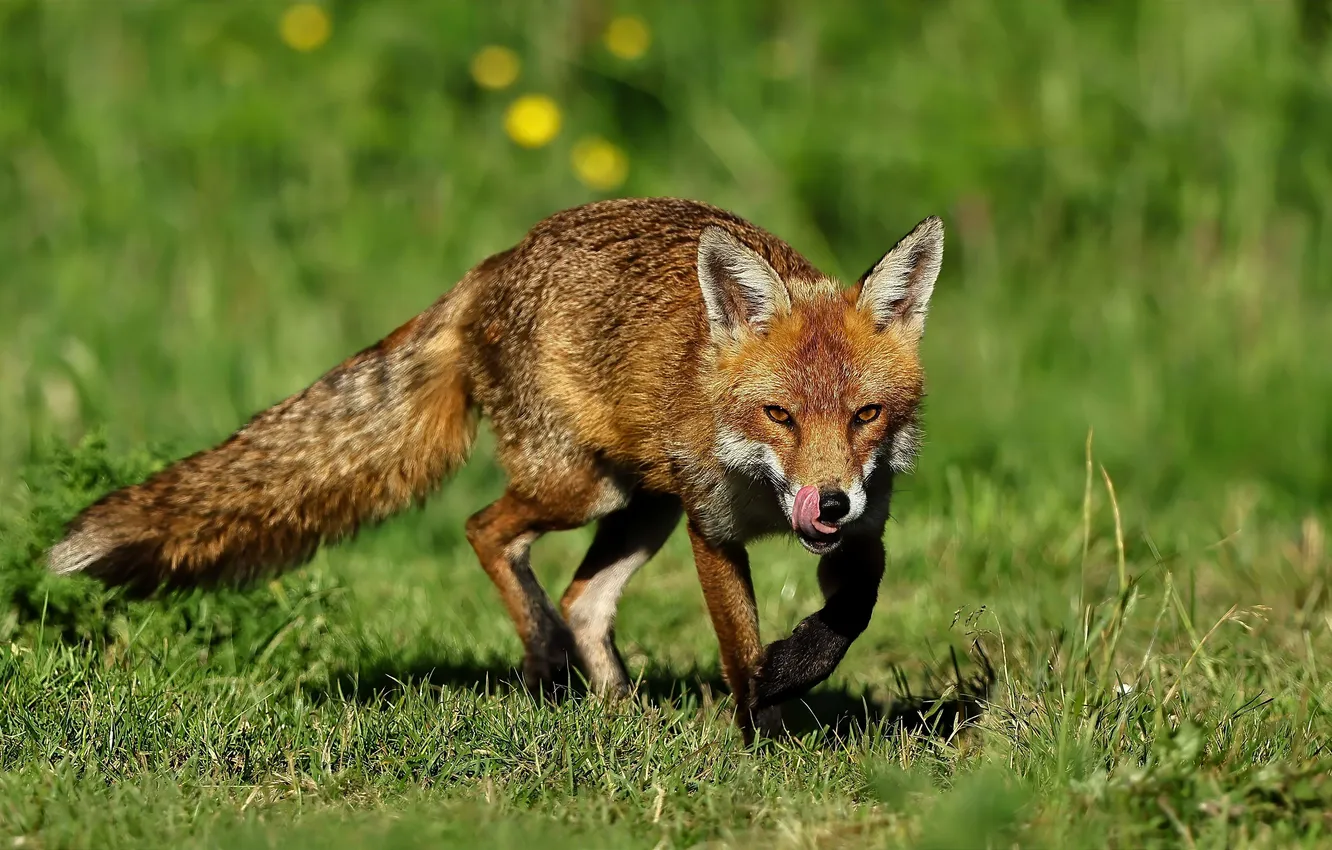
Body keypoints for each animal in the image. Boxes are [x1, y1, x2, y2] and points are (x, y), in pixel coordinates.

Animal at [47, 197, 944, 742]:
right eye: (779, 416)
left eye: (865, 416)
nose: (826, 504)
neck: (764, 497)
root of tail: (492, 263)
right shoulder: (712, 526)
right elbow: (739, 644)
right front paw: (762, 725)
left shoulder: (865, 527)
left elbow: (851, 612)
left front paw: (793, 674)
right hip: (585, 489)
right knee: (487, 533)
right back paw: (545, 663)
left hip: (639, 500)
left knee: (583, 601)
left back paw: (615, 710)